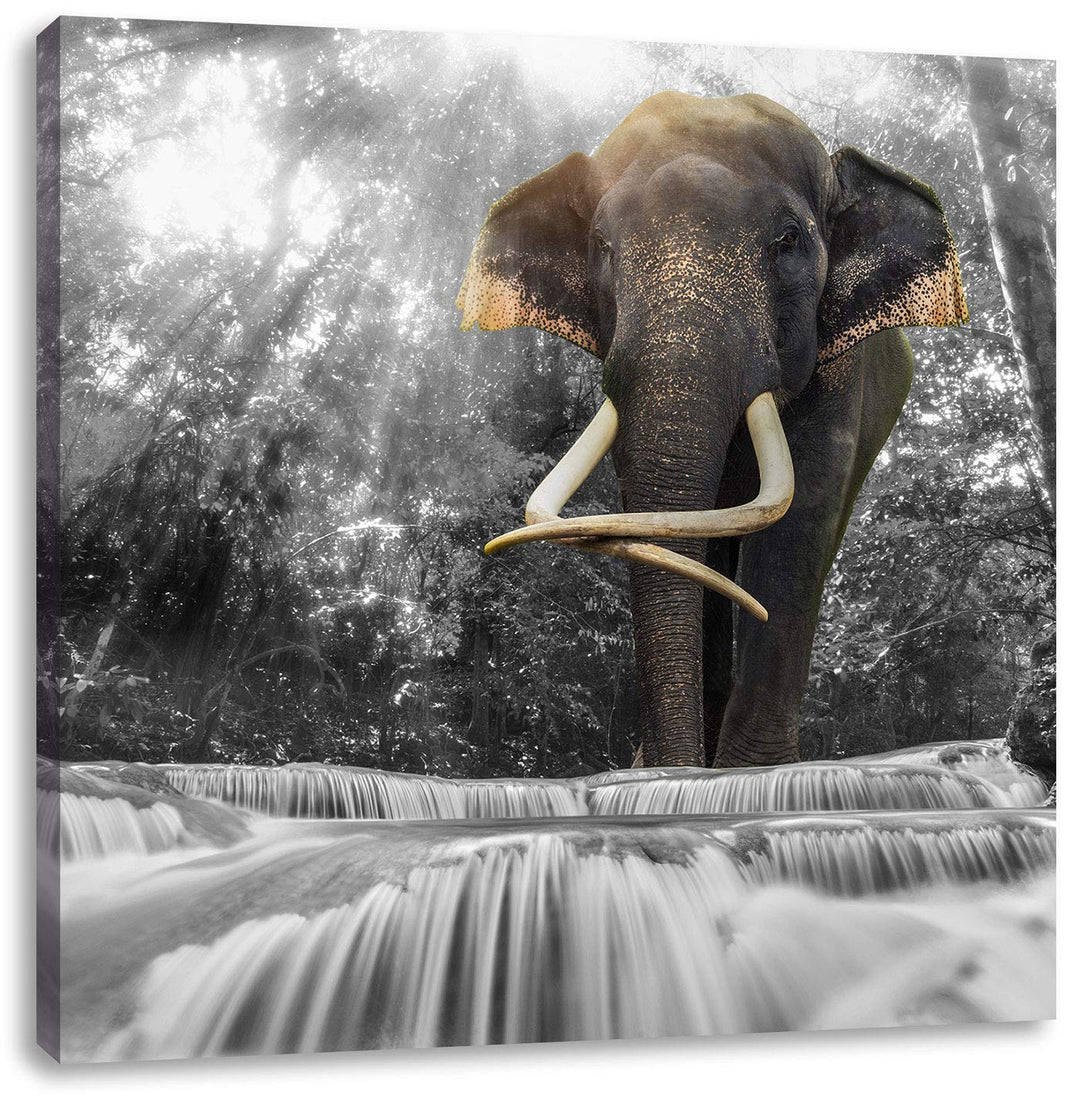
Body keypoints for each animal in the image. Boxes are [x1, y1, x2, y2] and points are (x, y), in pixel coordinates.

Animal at [457, 91, 967, 770]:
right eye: (603, 246)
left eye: (788, 239)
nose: (663, 766)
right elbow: (658, 527)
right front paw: (668, 770)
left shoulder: (839, 371)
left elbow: (800, 521)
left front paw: (752, 773)